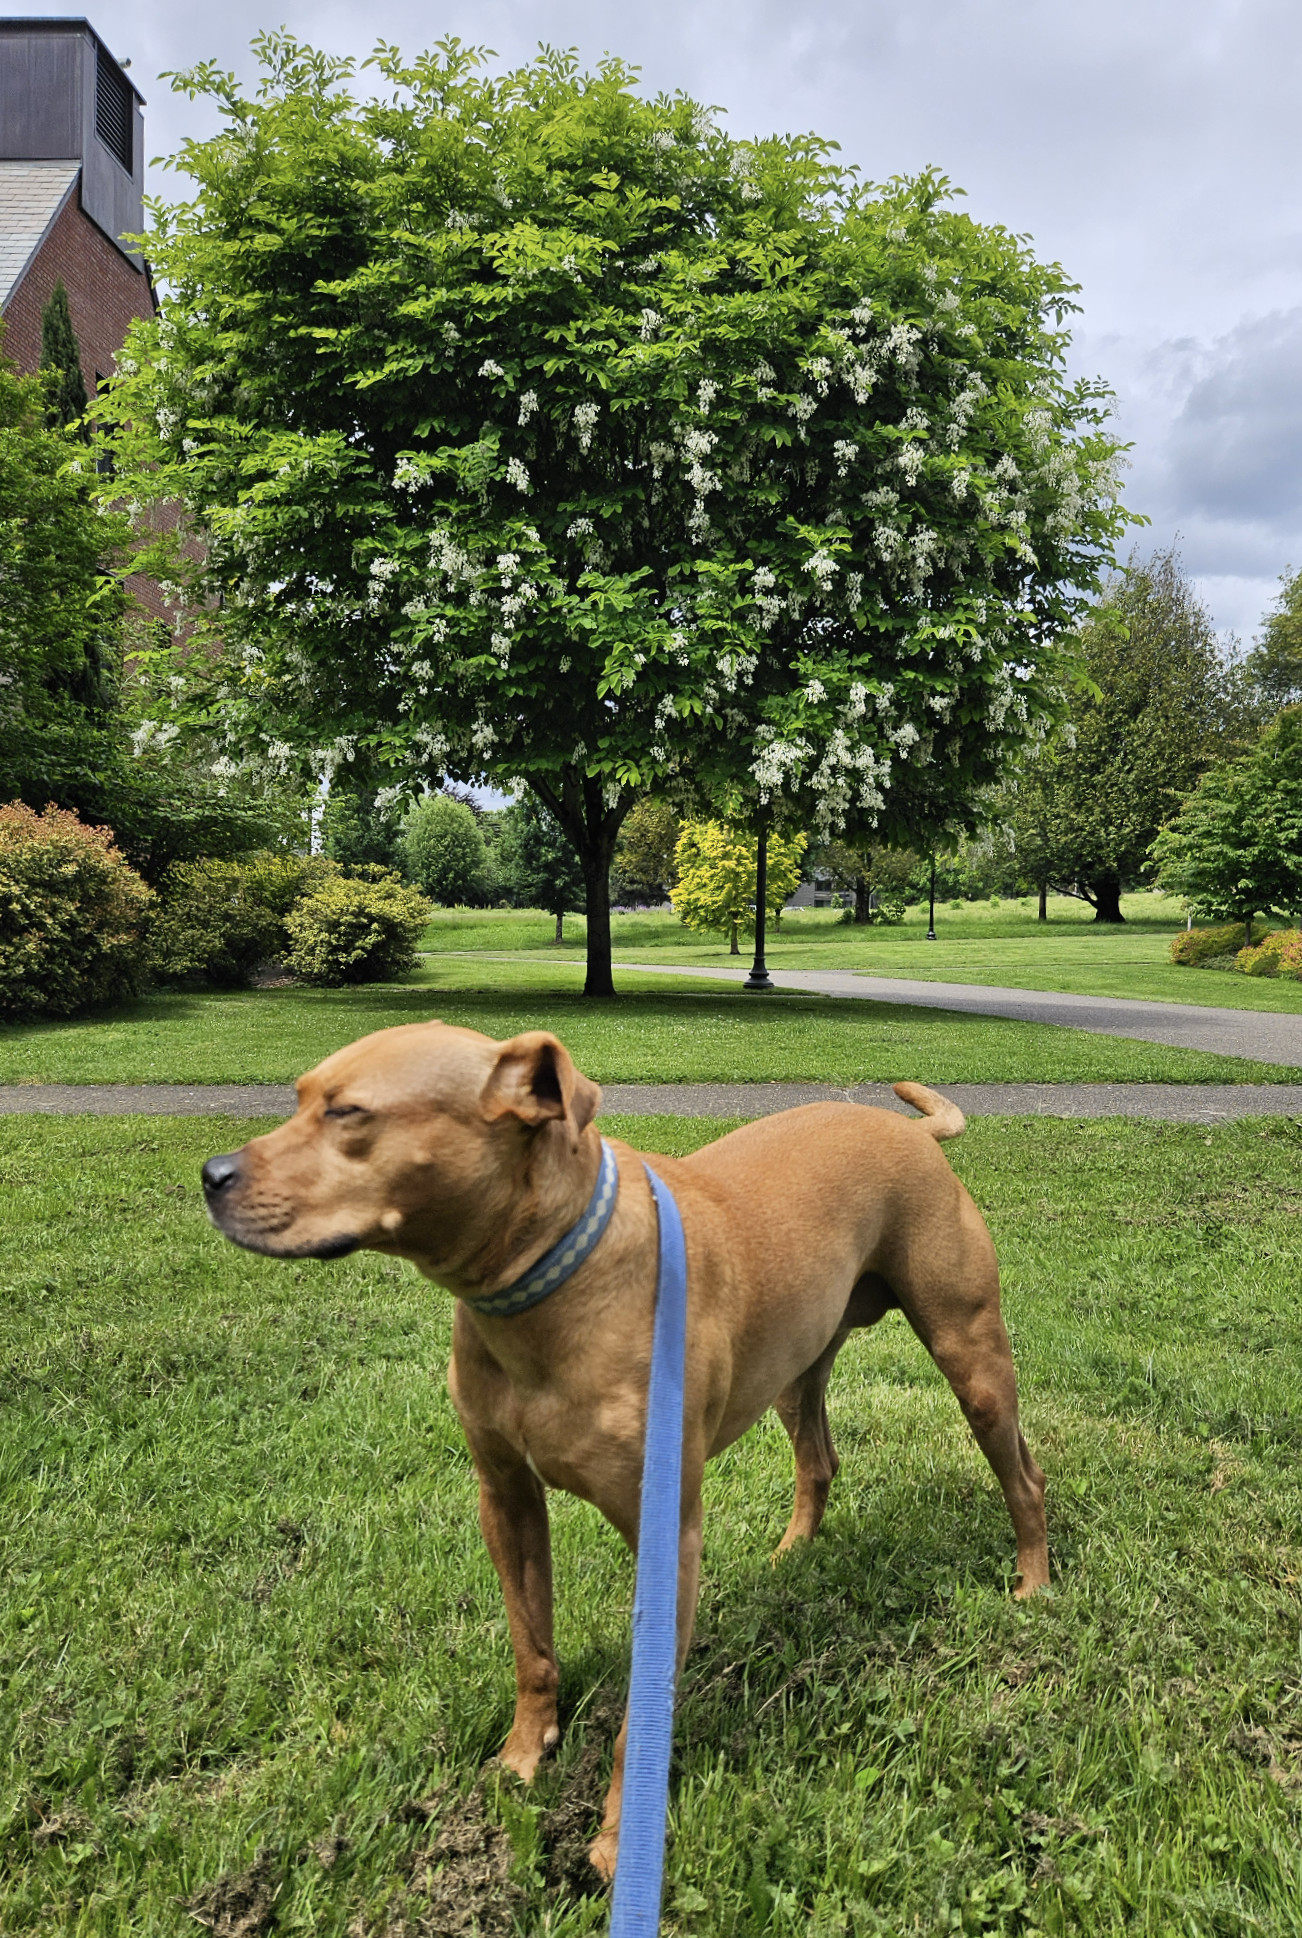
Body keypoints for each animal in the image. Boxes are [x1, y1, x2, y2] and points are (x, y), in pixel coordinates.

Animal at [208, 1023, 1054, 1868]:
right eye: (298, 1096)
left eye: (349, 1112)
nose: (211, 1175)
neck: (546, 1283)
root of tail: (906, 1131)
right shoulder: (506, 1499)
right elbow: (531, 1646)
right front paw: (523, 1757)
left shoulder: (663, 1533)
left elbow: (640, 1714)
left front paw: (619, 1838)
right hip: (794, 1366)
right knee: (819, 1458)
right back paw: (793, 1552)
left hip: (971, 1353)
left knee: (1024, 1474)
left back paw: (1033, 1581)